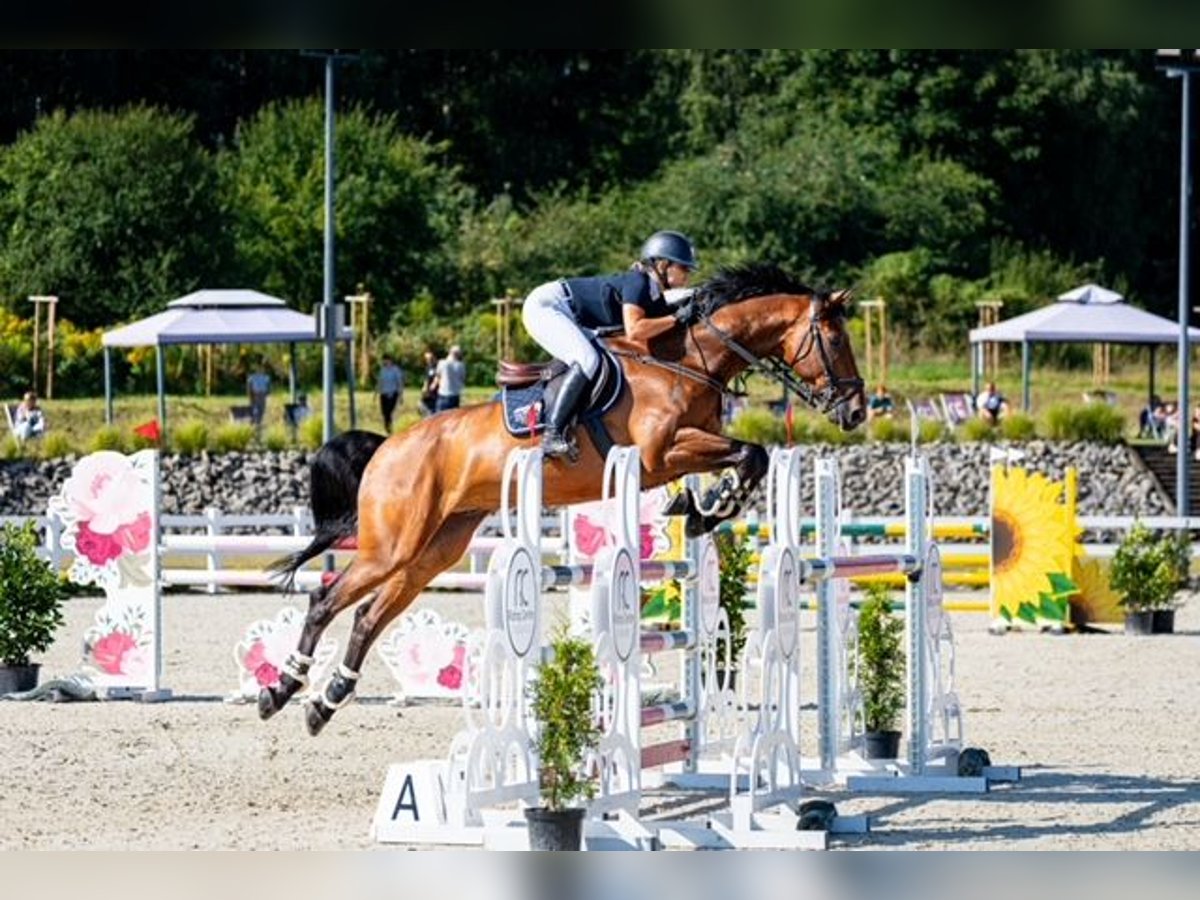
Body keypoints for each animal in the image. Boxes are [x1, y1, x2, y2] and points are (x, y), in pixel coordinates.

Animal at [262, 262, 867, 735]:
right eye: (836, 341)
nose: (857, 411)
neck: (690, 361)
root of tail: (388, 444)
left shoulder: (679, 453)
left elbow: (749, 456)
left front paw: (701, 510)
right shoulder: (660, 453)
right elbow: (750, 452)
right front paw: (710, 507)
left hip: (433, 550)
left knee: (367, 616)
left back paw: (324, 703)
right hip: (392, 544)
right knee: (325, 599)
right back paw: (281, 689)